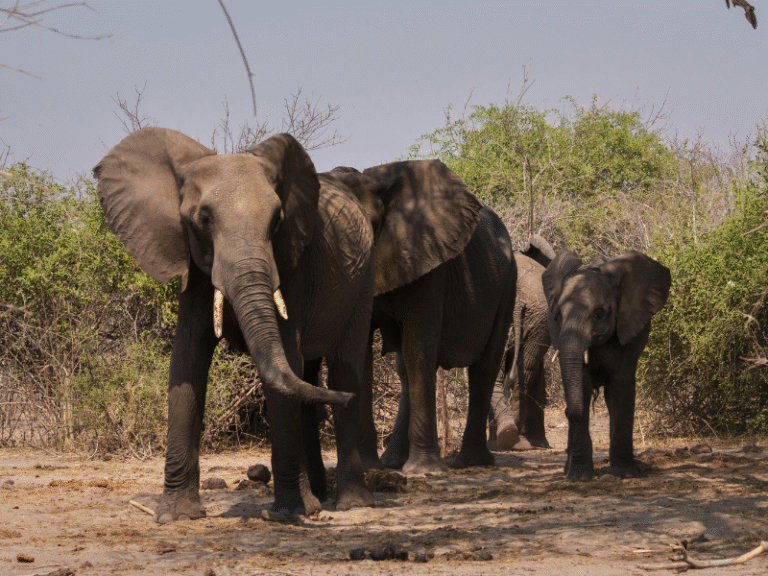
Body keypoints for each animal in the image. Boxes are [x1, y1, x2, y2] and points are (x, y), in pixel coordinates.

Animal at [327, 166, 518, 474]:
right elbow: (362, 354)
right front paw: (369, 469)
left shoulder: (429, 267)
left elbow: (419, 349)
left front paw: (424, 471)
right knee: (405, 370)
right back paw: (392, 462)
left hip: (508, 283)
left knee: (484, 366)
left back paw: (470, 462)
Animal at [541, 250, 671, 479]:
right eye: (558, 316)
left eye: (599, 313)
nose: (565, 412)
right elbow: (582, 387)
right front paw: (580, 477)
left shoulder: (629, 328)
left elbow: (621, 386)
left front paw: (625, 474)